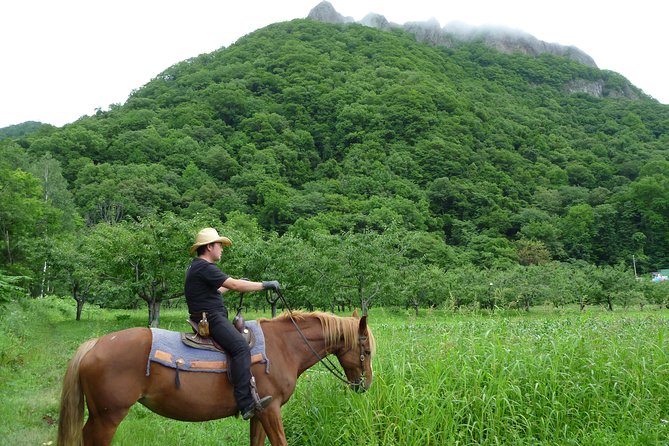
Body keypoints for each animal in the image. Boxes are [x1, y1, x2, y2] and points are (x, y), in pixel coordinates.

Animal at [56, 310, 374, 446]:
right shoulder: (271, 410)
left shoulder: (259, 411)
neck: (283, 346)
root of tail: (94, 345)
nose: (366, 385)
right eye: (367, 350)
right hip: (107, 418)